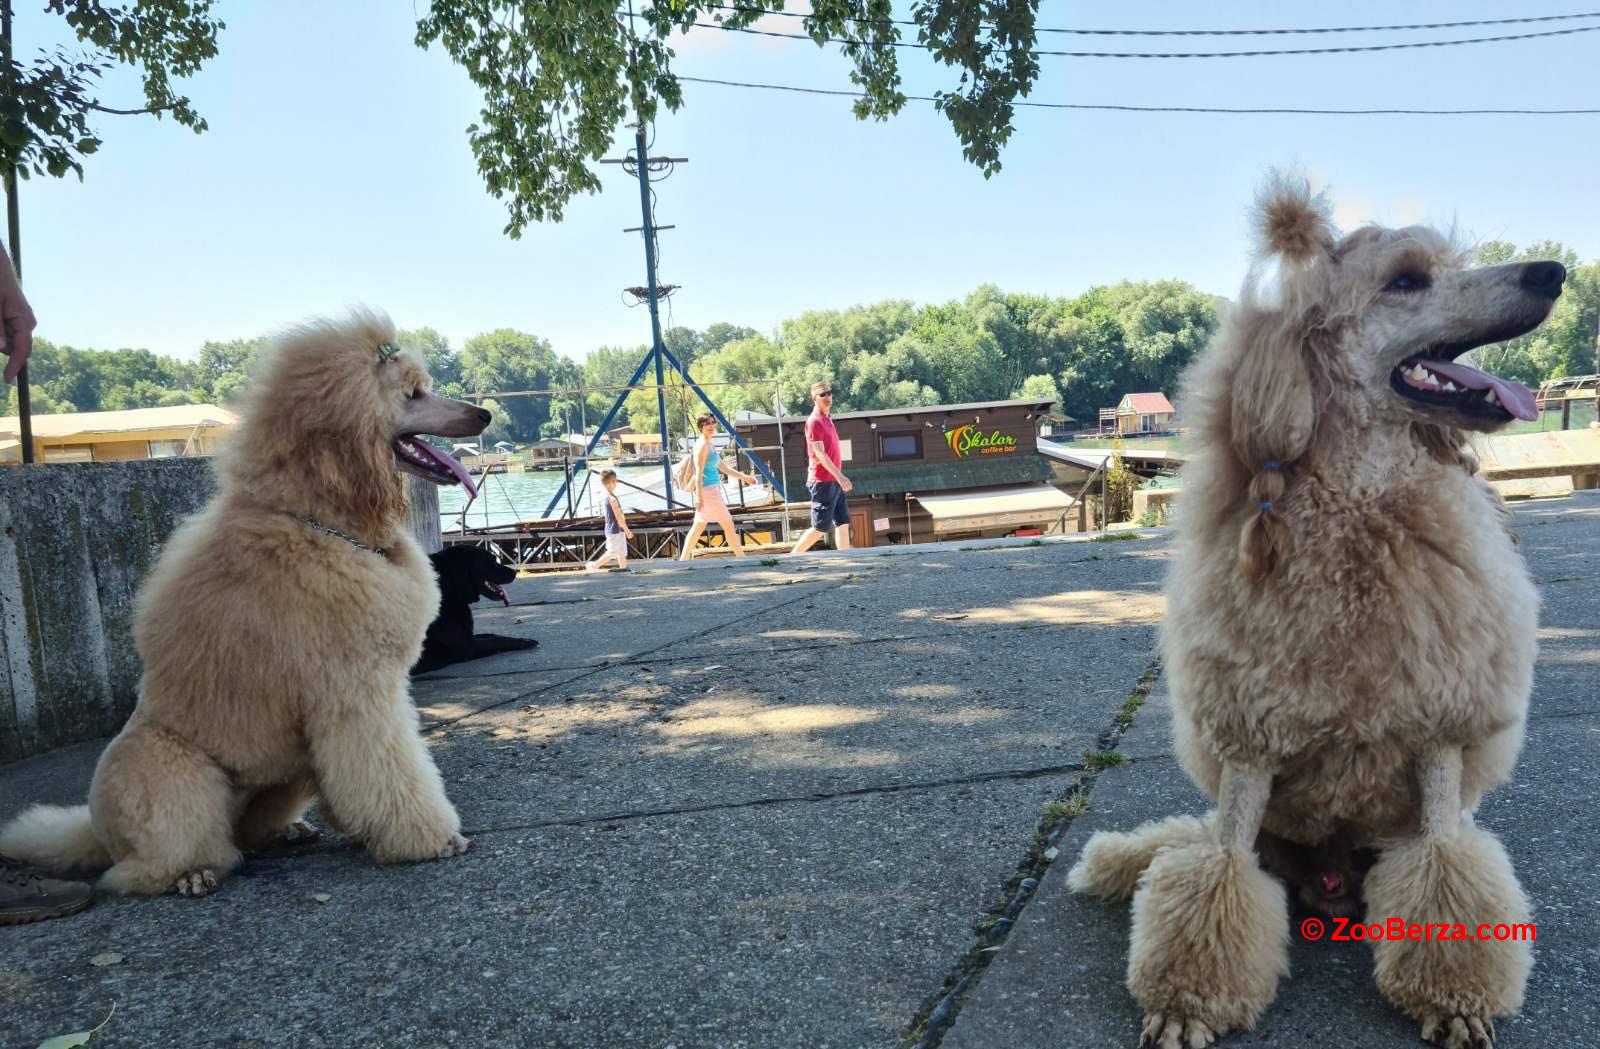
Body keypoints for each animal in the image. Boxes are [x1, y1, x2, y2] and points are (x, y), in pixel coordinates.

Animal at [412, 543, 537, 674]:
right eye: (491, 560)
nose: (514, 572)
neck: (451, 584)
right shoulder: (467, 646)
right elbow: (497, 640)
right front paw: (524, 642)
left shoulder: (469, 637)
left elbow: (492, 635)